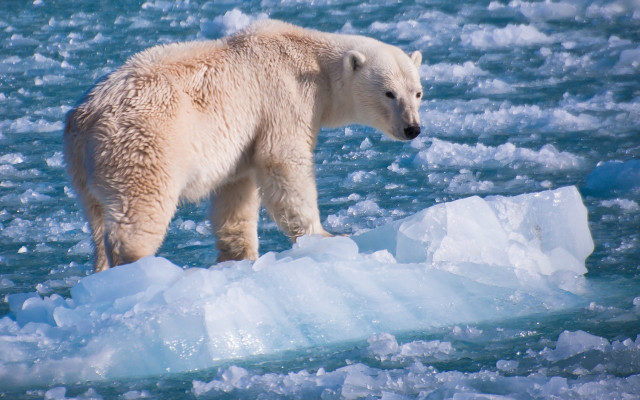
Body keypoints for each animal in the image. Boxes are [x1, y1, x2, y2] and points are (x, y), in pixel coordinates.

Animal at [63, 20, 423, 272]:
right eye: (389, 93)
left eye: (418, 92)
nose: (413, 128)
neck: (310, 59)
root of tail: (86, 118)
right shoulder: (282, 98)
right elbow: (284, 163)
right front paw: (327, 236)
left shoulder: (241, 143)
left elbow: (236, 194)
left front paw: (239, 256)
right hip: (145, 144)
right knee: (139, 209)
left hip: (82, 167)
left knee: (97, 219)